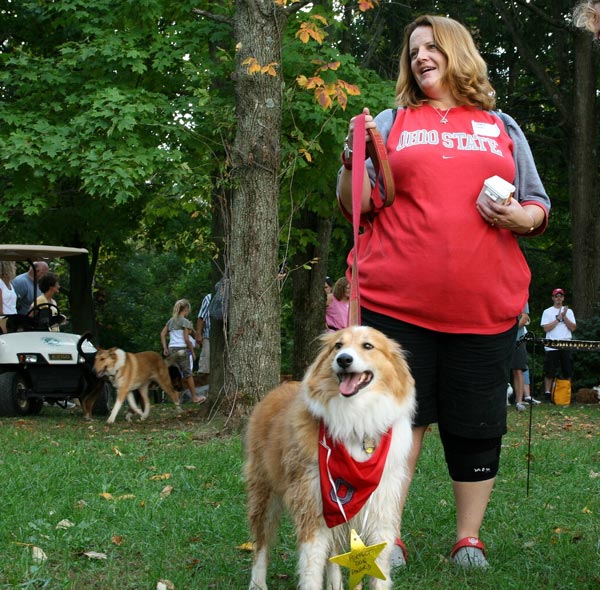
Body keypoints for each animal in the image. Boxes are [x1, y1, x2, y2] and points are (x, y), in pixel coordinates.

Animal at [244, 326, 416, 590]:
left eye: (368, 346)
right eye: (338, 345)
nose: (343, 359)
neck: (357, 421)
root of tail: (279, 386)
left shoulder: (379, 511)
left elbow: (377, 572)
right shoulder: (312, 508)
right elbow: (311, 569)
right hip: (265, 493)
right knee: (261, 543)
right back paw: (257, 583)